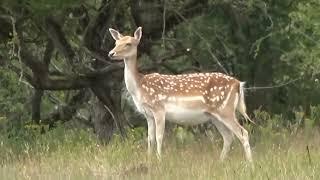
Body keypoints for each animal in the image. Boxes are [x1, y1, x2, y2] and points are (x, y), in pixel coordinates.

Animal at [109, 27, 254, 163]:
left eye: (128, 43)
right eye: (116, 42)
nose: (111, 53)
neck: (139, 88)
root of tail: (238, 84)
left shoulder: (159, 108)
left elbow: (159, 137)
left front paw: (159, 160)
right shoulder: (148, 114)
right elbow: (150, 138)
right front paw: (149, 160)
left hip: (225, 109)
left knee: (243, 133)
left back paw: (250, 164)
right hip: (214, 115)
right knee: (228, 136)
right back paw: (220, 162)